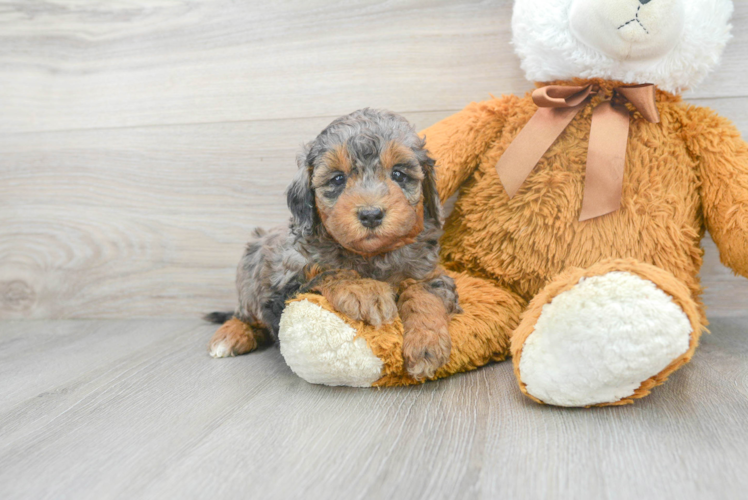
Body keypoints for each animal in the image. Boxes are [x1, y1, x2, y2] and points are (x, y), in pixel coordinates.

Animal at [207, 106, 458, 378]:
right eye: (338, 179)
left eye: (399, 174)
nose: (371, 214)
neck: (371, 256)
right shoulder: (284, 288)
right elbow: (329, 273)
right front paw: (365, 291)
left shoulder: (429, 272)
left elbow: (425, 293)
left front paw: (427, 344)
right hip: (250, 266)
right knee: (245, 315)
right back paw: (230, 336)